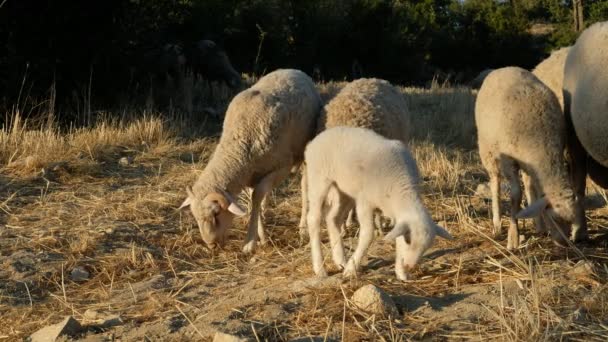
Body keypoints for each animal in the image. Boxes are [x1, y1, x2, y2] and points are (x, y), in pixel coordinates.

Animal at [179, 67, 324, 254]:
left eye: (217, 213)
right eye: (195, 216)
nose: (212, 245)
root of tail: (293, 70)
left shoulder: (281, 167)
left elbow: (257, 196)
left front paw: (250, 242)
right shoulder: (249, 174)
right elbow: (254, 198)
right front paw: (261, 234)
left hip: (305, 149)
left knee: (305, 186)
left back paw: (303, 227)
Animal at [304, 125, 452, 280]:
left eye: (427, 247)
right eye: (409, 240)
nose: (409, 266)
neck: (402, 189)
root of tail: (320, 137)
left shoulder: (397, 213)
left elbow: (397, 238)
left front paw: (401, 273)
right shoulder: (365, 202)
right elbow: (368, 234)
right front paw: (351, 268)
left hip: (343, 190)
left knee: (333, 218)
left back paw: (340, 260)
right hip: (319, 180)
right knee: (313, 219)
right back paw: (320, 269)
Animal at [476, 67, 576, 250]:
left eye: (571, 220)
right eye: (555, 218)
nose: (564, 244)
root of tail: (505, 68)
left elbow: (532, 189)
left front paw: (538, 225)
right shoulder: (508, 162)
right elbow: (516, 195)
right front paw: (513, 237)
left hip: (526, 163)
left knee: (529, 184)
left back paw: (538, 225)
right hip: (488, 151)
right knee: (495, 183)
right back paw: (497, 225)